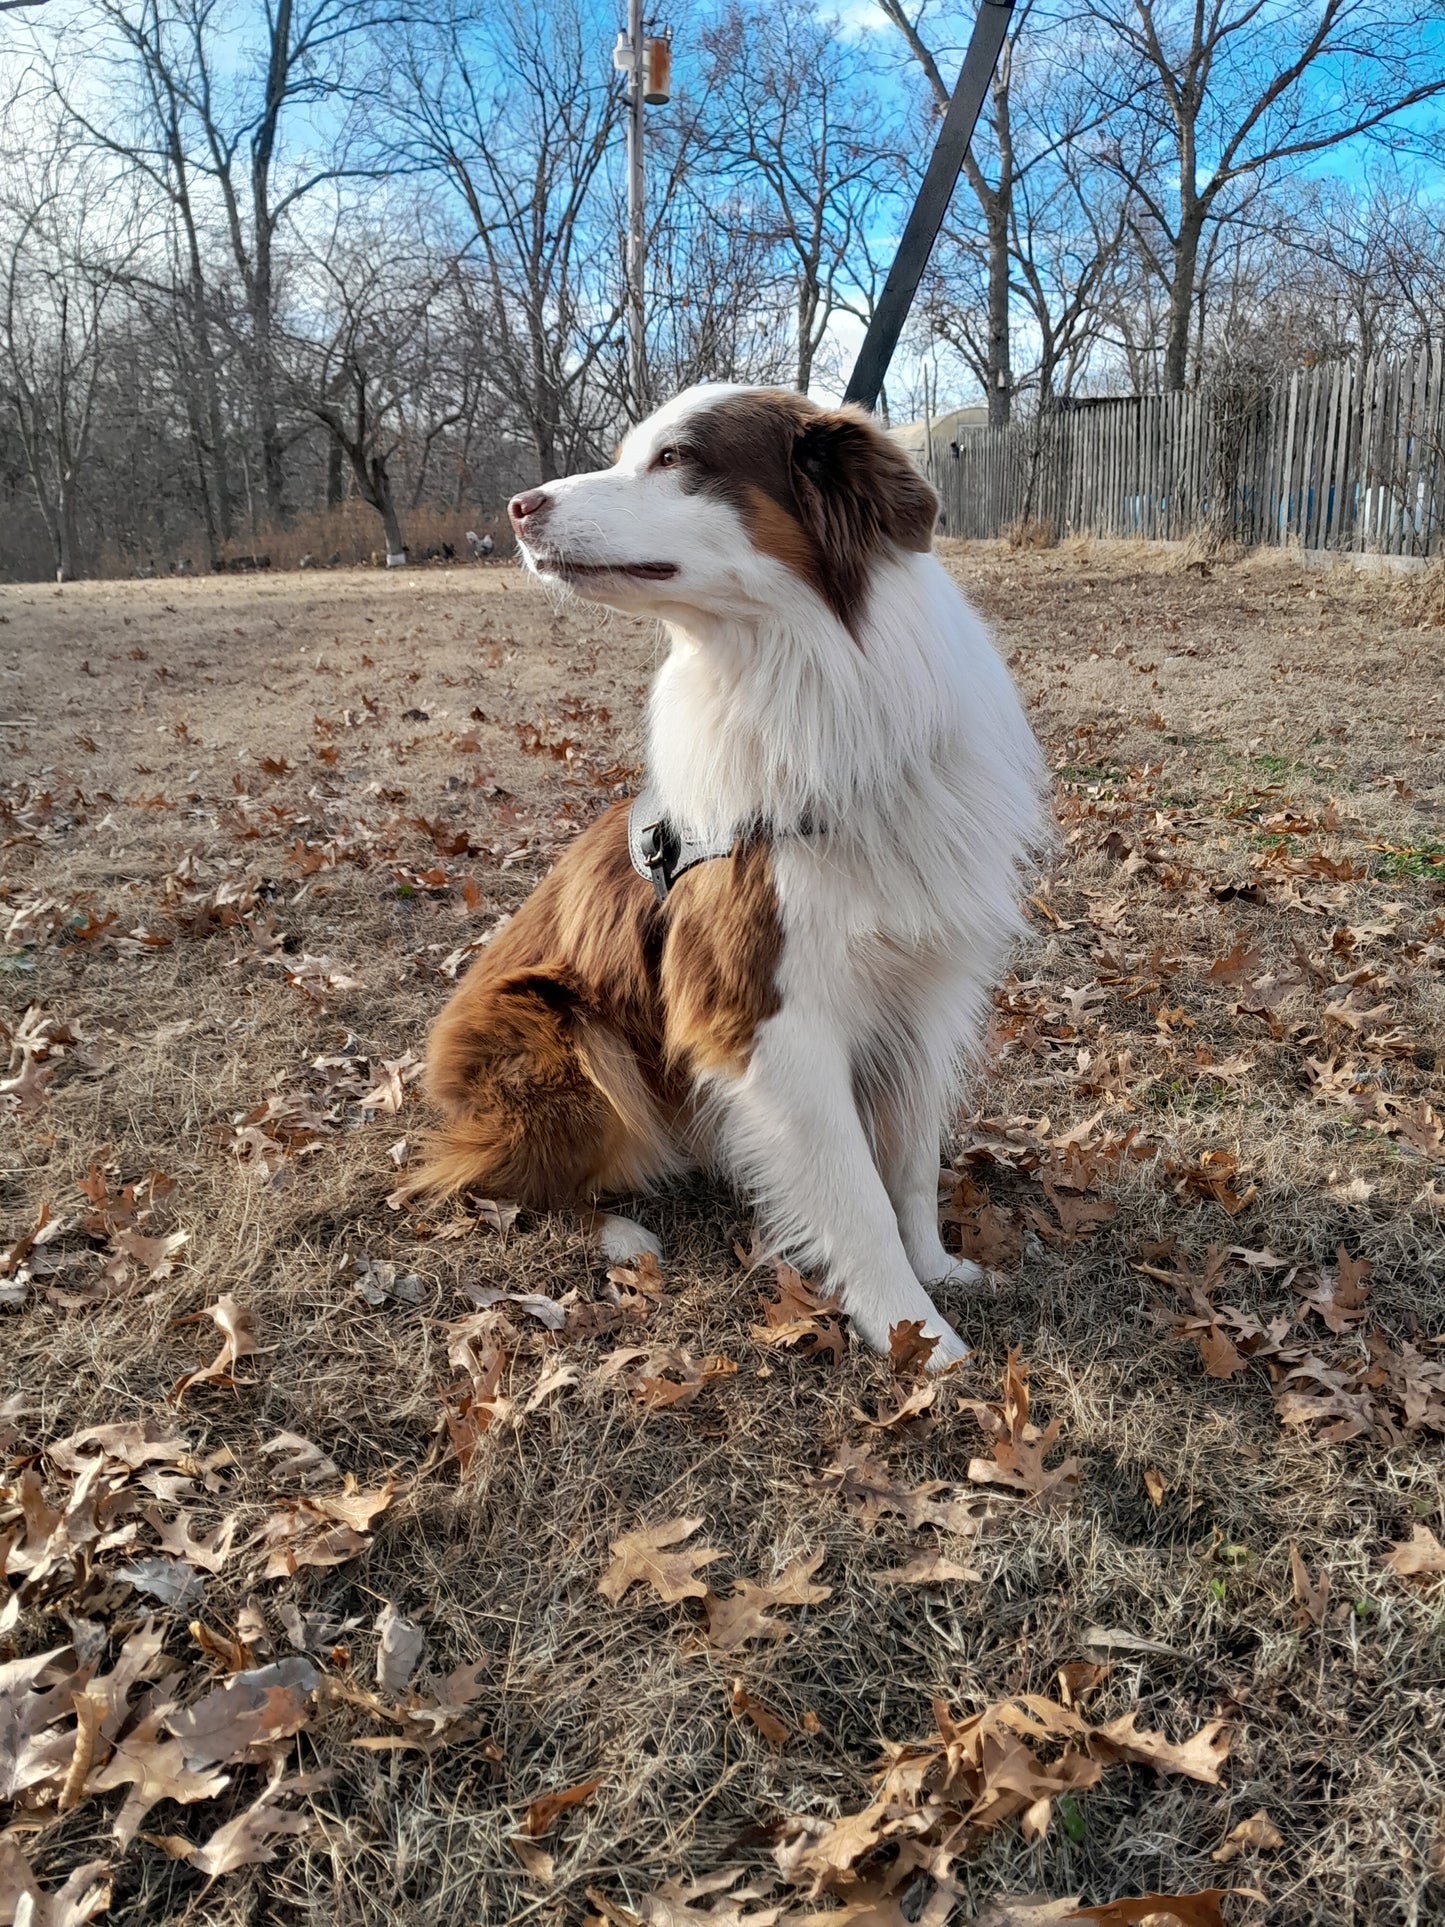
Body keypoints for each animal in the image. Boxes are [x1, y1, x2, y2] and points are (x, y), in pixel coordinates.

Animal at [412, 383, 1048, 1364]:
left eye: (674, 459)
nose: (518, 507)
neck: (796, 678)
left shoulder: (924, 994)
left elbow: (908, 1164)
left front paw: (936, 1270)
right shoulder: (767, 1014)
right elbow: (855, 1196)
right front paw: (915, 1335)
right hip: (570, 1034)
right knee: (484, 1177)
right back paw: (620, 1232)